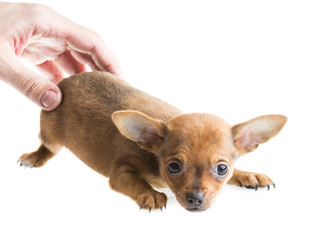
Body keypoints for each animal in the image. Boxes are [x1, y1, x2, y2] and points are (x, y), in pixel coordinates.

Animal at [18, 71, 286, 212]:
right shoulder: (121, 173)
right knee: (47, 147)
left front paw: (248, 175)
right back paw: (35, 156)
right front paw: (150, 194)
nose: (195, 199)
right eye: (173, 167)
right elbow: (136, 182)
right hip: (51, 133)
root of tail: (65, 80)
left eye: (222, 169)